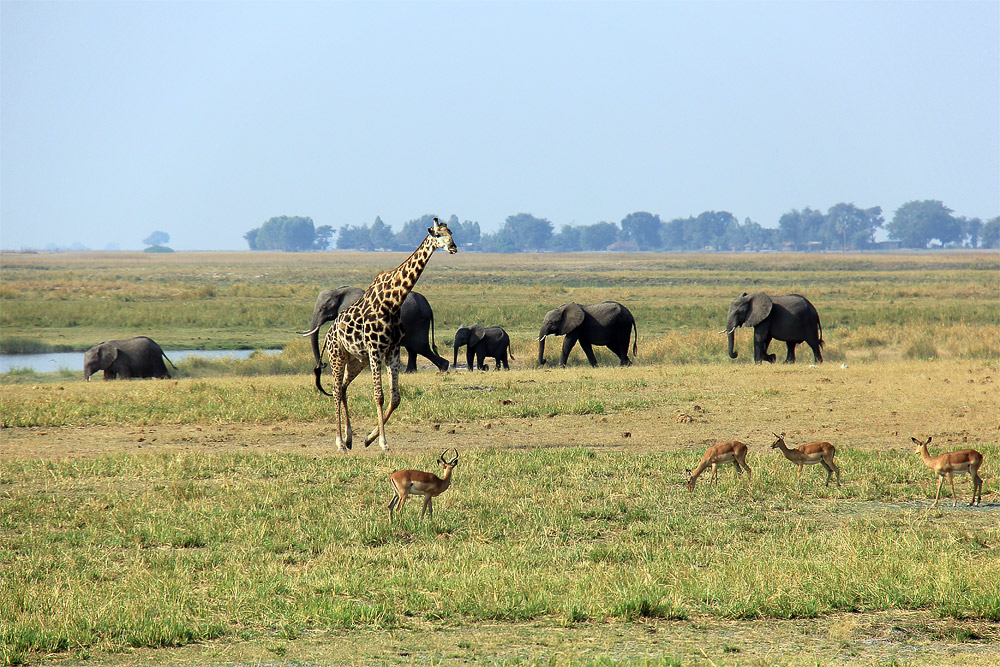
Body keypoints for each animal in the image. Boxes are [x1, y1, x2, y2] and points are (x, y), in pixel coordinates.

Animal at [300, 284, 450, 374]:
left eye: (323, 307)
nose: (323, 365)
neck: (340, 291)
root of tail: (428, 306)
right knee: (413, 348)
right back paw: (410, 372)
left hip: (418, 321)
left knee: (420, 347)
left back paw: (443, 367)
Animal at [316, 219, 458, 454]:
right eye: (437, 234)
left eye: (451, 232)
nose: (454, 247)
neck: (393, 301)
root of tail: (328, 334)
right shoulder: (375, 350)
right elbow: (379, 396)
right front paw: (383, 442)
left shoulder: (393, 349)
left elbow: (395, 398)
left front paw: (369, 438)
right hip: (338, 356)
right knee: (336, 391)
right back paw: (340, 443)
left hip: (357, 360)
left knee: (343, 388)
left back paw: (349, 438)